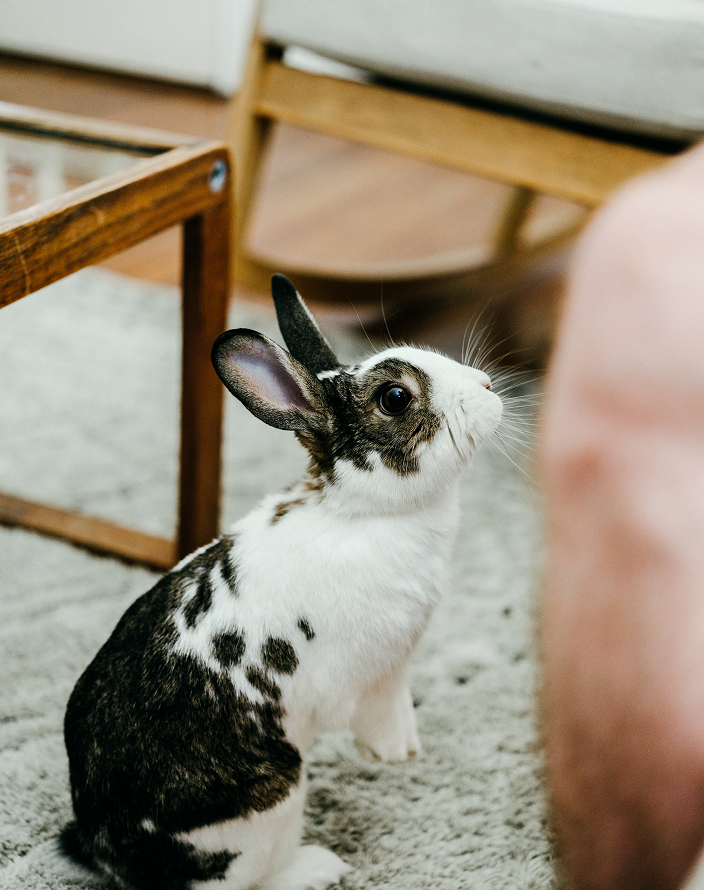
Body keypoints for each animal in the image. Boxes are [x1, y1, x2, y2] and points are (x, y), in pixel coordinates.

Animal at [61, 274, 503, 890]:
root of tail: (105, 850)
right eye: (395, 398)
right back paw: (319, 865)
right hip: (275, 800)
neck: (364, 512)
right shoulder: (373, 676)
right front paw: (395, 754)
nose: (487, 386)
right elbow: (381, 712)